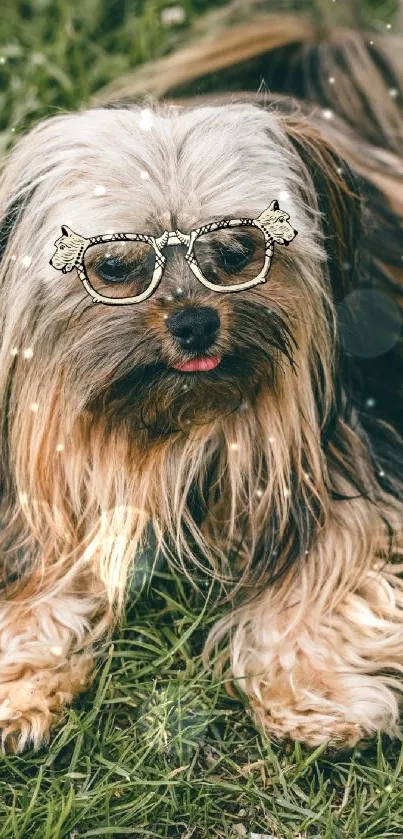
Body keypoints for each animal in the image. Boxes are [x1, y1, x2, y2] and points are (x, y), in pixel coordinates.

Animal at [0, 18, 403, 756]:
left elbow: (332, 570)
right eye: (115, 266)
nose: (194, 323)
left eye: (238, 252)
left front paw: (317, 695)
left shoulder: (344, 466)